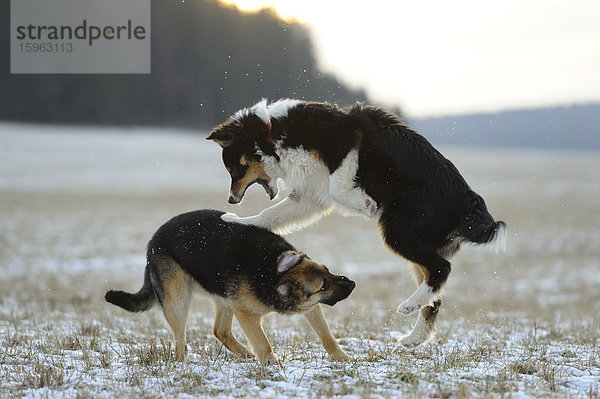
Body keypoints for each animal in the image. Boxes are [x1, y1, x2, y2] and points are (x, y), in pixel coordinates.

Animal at [105, 211, 354, 364]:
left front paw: (342, 357)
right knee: (181, 340)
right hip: (178, 301)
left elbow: (327, 336)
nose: (352, 284)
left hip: (223, 297)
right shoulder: (247, 314)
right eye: (324, 286)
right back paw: (182, 362)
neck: (271, 273)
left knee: (220, 330)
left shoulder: (310, 308)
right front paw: (271, 362)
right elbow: (262, 342)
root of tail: (153, 242)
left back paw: (243, 353)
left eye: (327, 270)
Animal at [207, 100, 506, 350]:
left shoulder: (348, 141)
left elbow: (339, 185)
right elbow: (271, 214)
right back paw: (414, 336)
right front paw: (238, 221)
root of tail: (470, 203)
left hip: (398, 231)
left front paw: (365, 203)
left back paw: (408, 307)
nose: (232, 200)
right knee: (435, 288)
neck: (273, 134)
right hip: (416, 241)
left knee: (442, 269)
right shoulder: (310, 196)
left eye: (235, 169)